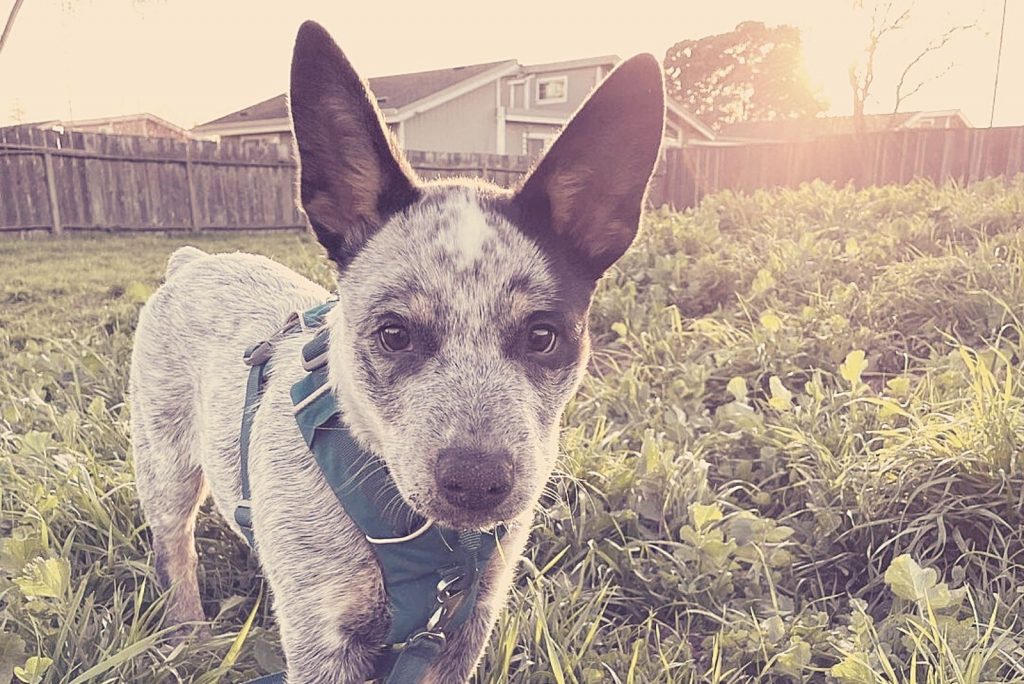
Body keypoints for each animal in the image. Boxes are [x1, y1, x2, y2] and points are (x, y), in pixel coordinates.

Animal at [128, 20, 667, 684]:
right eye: (393, 335)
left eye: (543, 336)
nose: (477, 481)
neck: (427, 542)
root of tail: (193, 261)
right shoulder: (323, 643)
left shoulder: (465, 629)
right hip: (166, 468)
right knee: (173, 549)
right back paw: (189, 635)